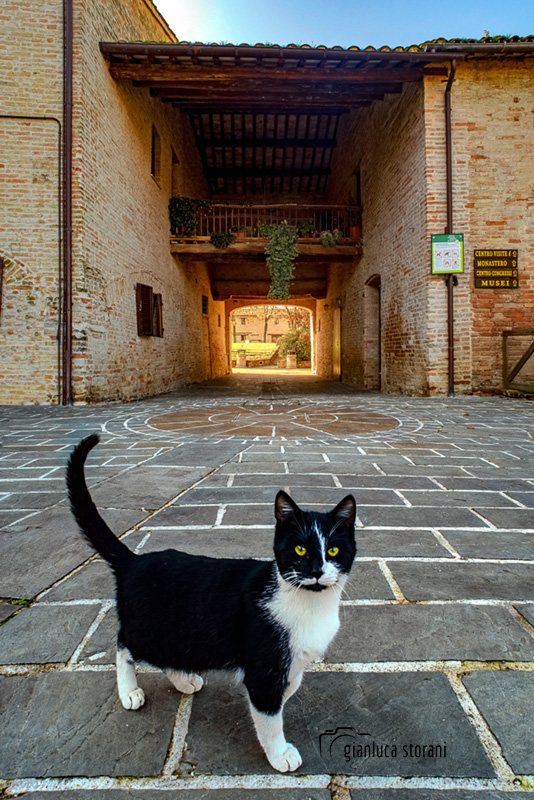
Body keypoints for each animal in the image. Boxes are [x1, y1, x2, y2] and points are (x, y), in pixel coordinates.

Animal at [68, 434, 360, 772]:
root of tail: (134, 561)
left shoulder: (290, 663)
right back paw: (129, 691)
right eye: (300, 549)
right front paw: (278, 753)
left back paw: (183, 681)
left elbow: (290, 687)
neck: (309, 603)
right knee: (123, 643)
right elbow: (269, 712)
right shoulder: (263, 667)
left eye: (334, 550)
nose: (316, 571)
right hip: (149, 630)